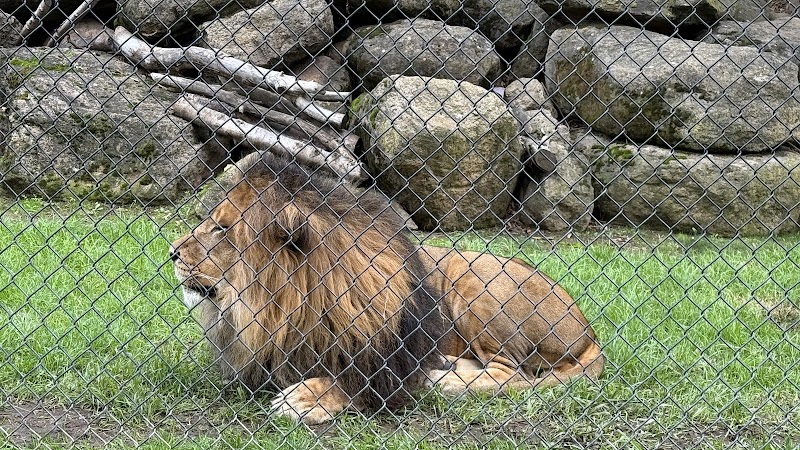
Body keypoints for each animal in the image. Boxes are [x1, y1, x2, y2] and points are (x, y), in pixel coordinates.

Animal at [171, 154, 604, 424]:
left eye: (222, 228)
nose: (172, 252)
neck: (282, 305)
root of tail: (590, 332)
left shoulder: (388, 360)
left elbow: (354, 383)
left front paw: (305, 397)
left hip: (474, 279)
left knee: (512, 372)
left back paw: (447, 380)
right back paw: (445, 368)